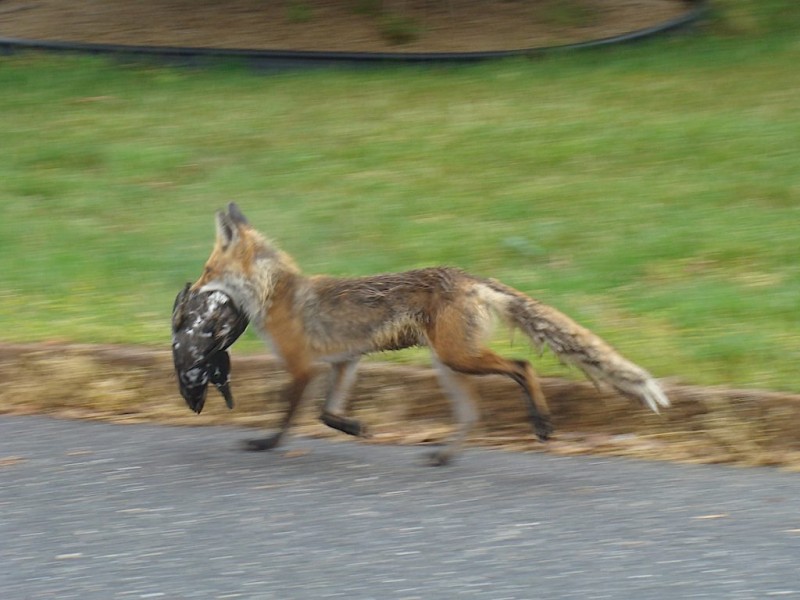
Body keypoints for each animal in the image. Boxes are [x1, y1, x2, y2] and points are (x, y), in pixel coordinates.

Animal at [193, 202, 669, 465]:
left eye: (207, 271)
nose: (192, 289)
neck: (275, 293)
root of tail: (466, 275)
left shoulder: (303, 368)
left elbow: (290, 417)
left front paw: (266, 443)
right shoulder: (345, 361)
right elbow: (326, 414)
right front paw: (355, 428)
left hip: (458, 358)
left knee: (522, 366)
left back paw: (542, 423)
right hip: (449, 366)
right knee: (473, 414)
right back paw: (445, 455)